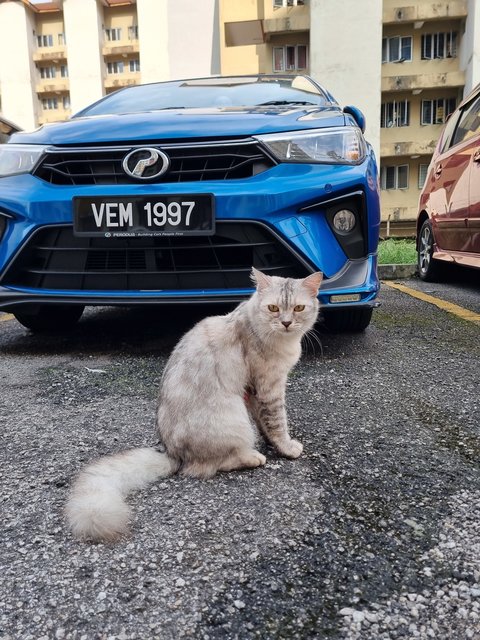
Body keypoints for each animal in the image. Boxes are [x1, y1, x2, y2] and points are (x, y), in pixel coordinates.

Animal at [65, 268, 322, 544]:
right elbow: (278, 423)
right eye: (273, 308)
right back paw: (252, 457)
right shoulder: (269, 388)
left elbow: (266, 424)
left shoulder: (255, 393)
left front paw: (274, 444)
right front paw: (286, 448)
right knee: (210, 466)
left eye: (298, 308)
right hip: (234, 419)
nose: (286, 323)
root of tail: (172, 454)